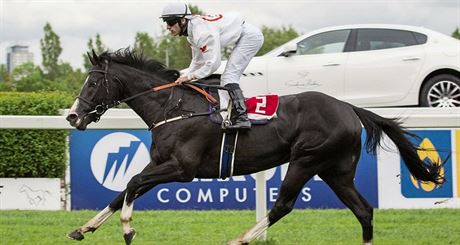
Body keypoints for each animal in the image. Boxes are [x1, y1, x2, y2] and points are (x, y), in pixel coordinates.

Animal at [66, 48, 444, 244]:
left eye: (93, 83)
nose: (72, 116)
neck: (175, 108)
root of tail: (348, 107)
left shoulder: (181, 169)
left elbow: (130, 184)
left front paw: (128, 229)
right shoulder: (159, 164)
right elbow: (122, 192)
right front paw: (83, 228)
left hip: (306, 160)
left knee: (284, 205)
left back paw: (240, 239)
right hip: (336, 170)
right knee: (363, 210)